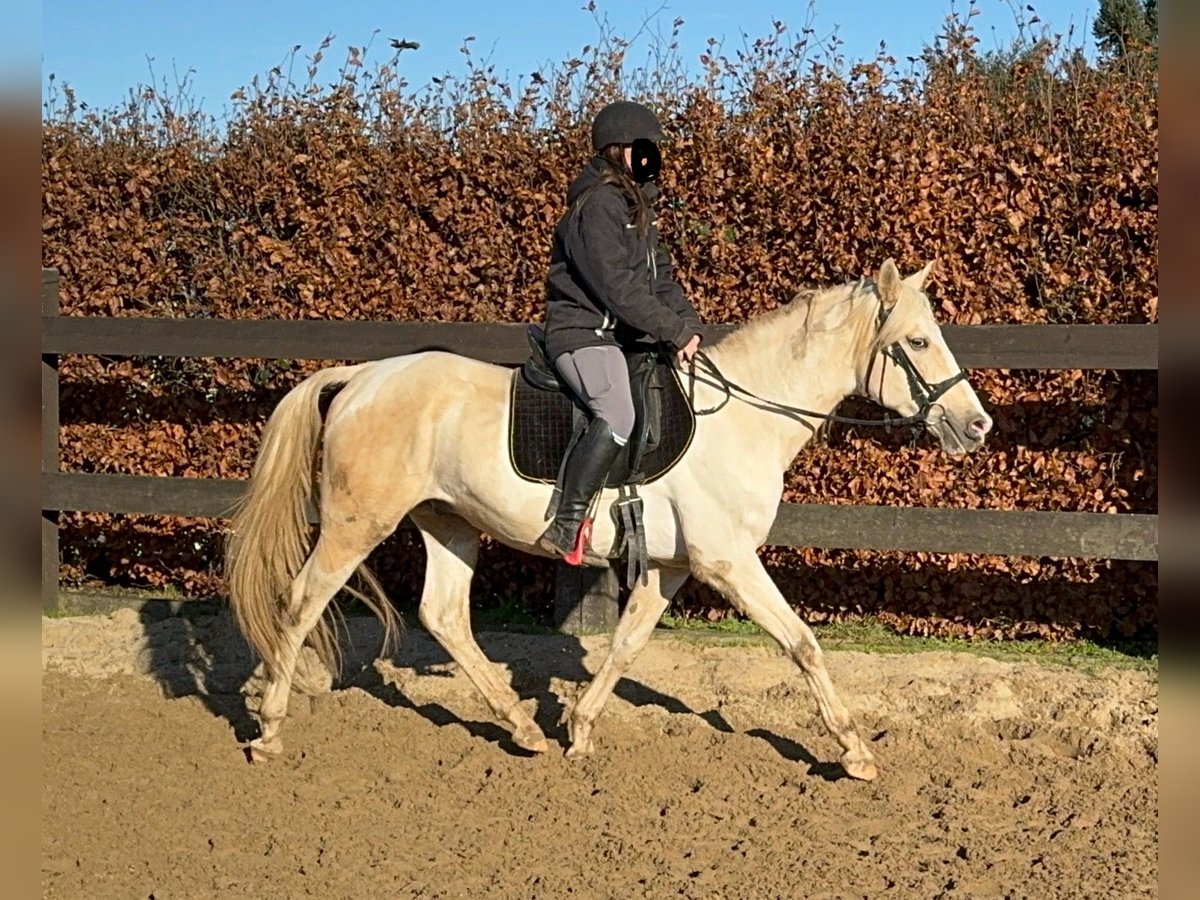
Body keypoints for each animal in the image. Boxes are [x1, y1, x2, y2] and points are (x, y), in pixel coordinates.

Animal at [225, 260, 993, 782]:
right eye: (918, 343)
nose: (978, 426)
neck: (746, 416)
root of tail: (360, 376)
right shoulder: (728, 562)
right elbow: (802, 643)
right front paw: (855, 750)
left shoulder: (672, 566)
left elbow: (626, 645)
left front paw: (579, 728)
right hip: (359, 523)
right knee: (301, 601)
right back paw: (268, 729)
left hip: (449, 523)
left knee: (443, 615)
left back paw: (522, 728)